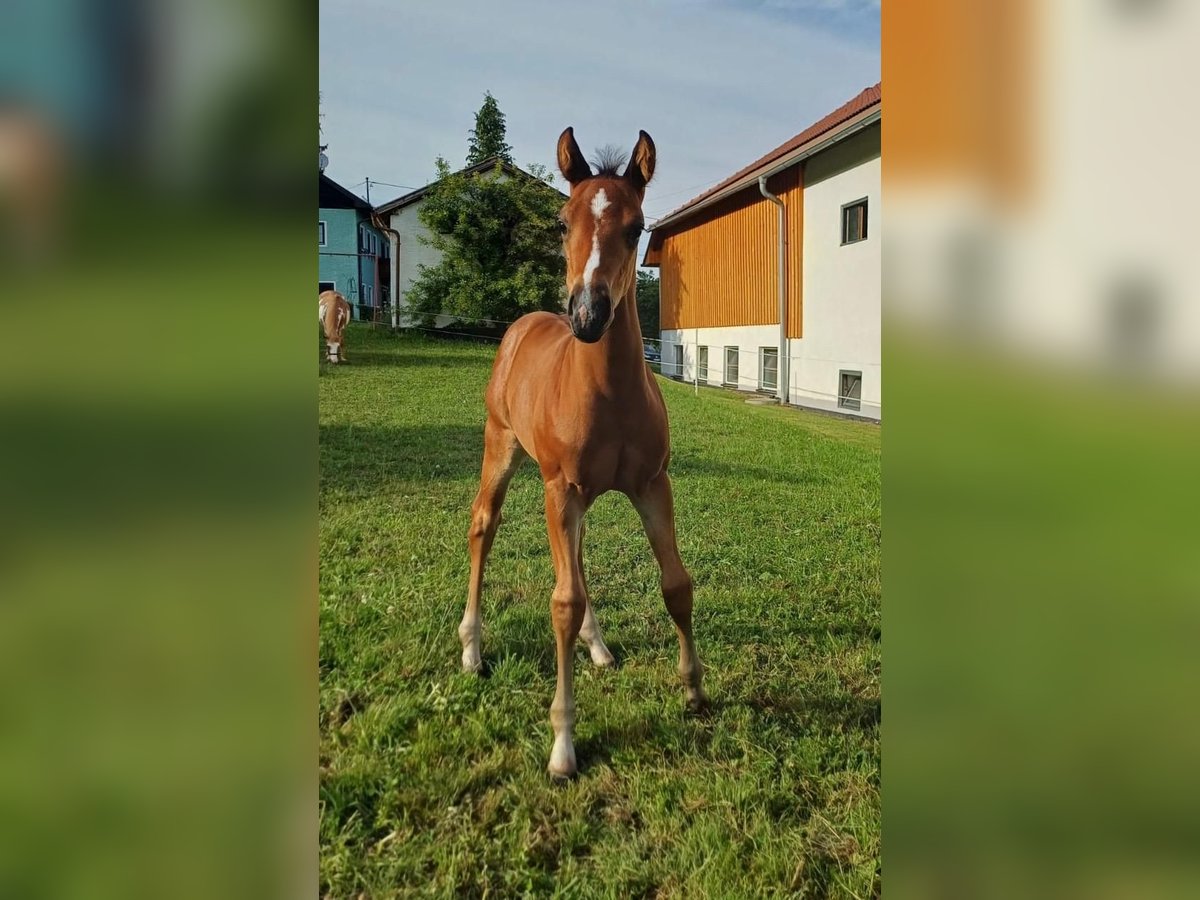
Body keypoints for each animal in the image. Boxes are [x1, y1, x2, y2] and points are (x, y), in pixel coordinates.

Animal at [458, 127, 707, 781]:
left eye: (637, 226)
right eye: (561, 221)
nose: (588, 316)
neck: (609, 395)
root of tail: (523, 323)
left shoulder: (652, 484)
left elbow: (676, 584)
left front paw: (694, 689)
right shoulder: (562, 489)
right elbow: (562, 603)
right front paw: (563, 744)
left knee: (579, 554)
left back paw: (598, 646)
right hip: (503, 447)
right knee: (484, 526)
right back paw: (471, 647)